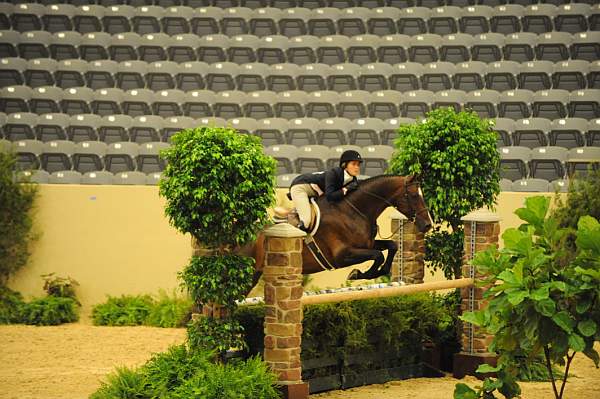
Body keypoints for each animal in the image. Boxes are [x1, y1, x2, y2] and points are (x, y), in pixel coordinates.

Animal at [241, 173, 434, 282]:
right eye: (414, 196)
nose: (427, 224)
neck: (354, 211)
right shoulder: (341, 256)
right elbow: (378, 255)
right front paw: (356, 274)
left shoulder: (367, 244)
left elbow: (391, 246)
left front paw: (371, 273)